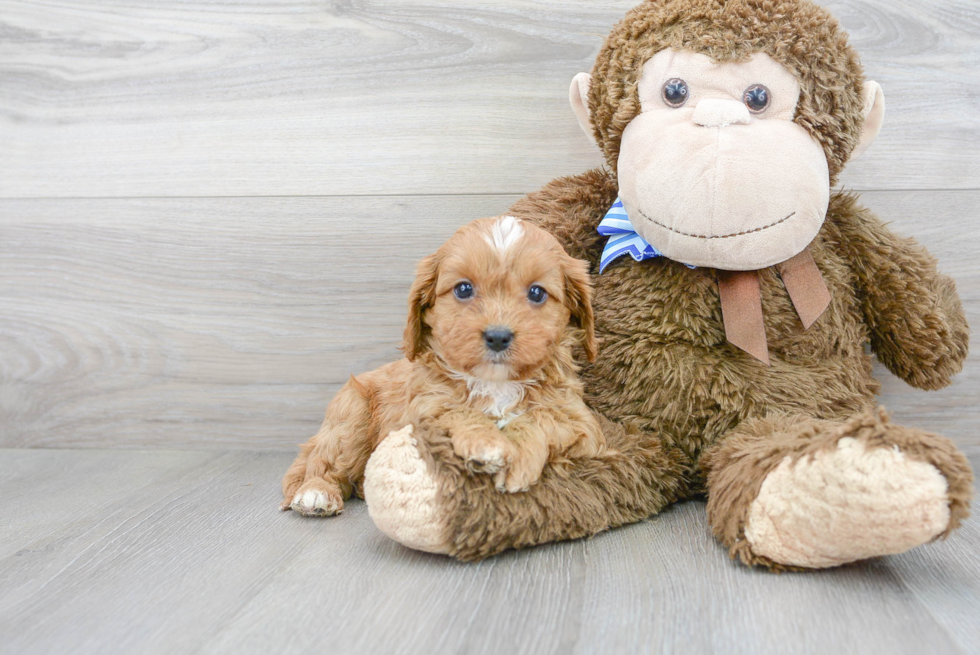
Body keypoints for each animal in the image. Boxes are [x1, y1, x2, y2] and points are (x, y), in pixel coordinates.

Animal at [280, 217, 604, 516]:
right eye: (463, 289)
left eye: (537, 293)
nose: (498, 336)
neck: (495, 383)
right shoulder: (422, 409)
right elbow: (456, 411)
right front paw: (486, 444)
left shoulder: (582, 424)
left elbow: (540, 417)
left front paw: (520, 458)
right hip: (350, 416)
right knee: (322, 463)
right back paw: (316, 493)